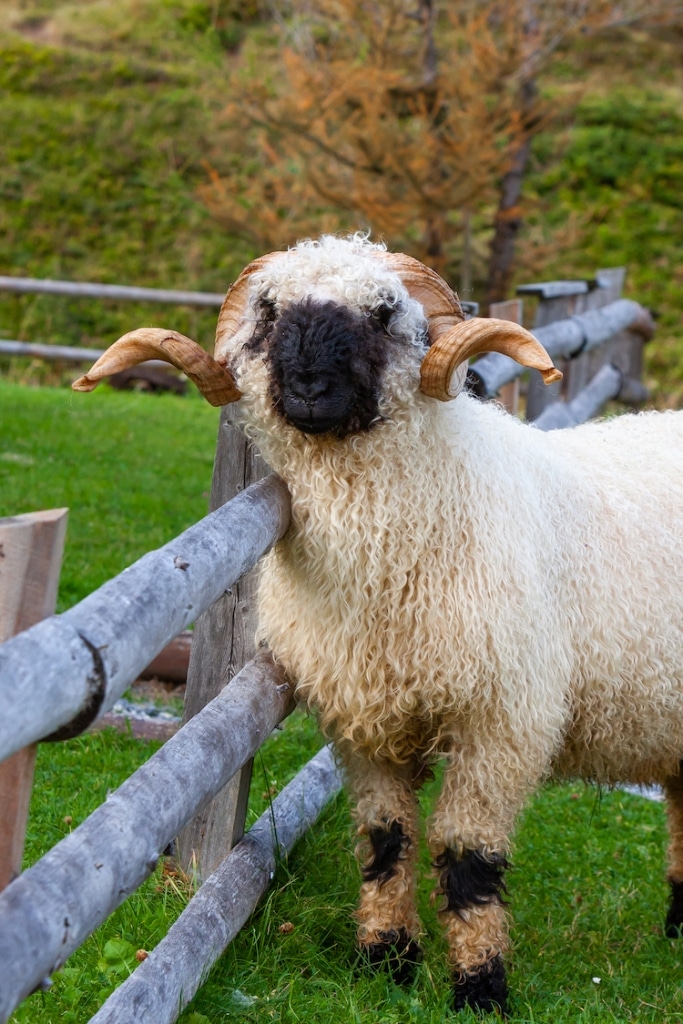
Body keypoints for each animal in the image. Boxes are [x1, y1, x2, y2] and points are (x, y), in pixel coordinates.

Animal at [73, 234, 683, 1015]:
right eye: (268, 314)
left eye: (384, 313)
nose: (307, 386)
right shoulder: (360, 716)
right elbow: (386, 838)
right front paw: (385, 960)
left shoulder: (504, 721)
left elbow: (467, 853)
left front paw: (480, 988)